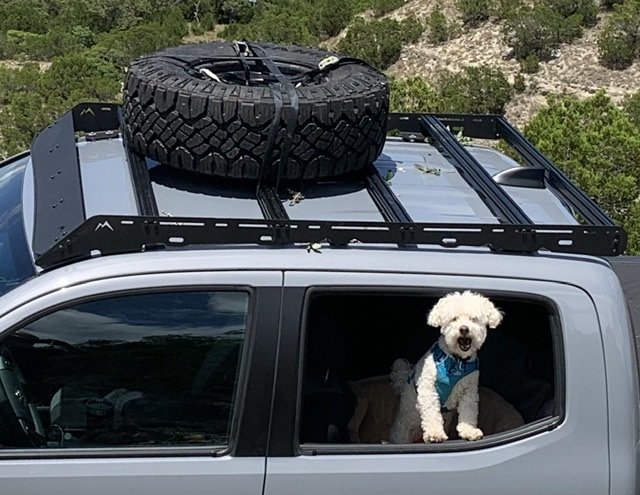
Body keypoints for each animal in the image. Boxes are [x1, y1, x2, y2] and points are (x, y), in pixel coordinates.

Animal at [388, 292, 502, 444]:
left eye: (474, 319)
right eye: (454, 319)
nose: (464, 328)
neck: (457, 361)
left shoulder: (469, 392)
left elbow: (469, 411)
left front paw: (469, 430)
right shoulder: (428, 389)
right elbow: (431, 412)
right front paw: (434, 433)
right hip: (403, 430)